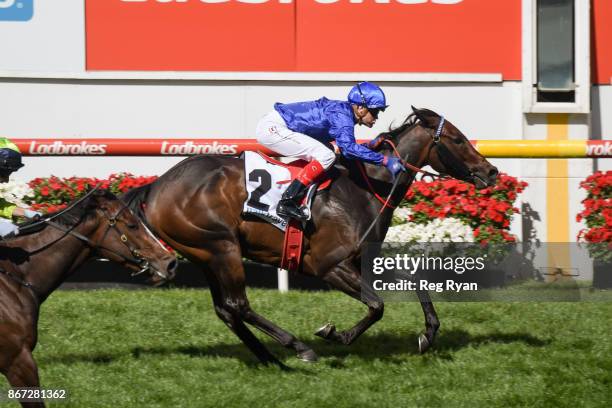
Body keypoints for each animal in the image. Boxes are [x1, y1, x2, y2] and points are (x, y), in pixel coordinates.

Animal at [123, 108, 498, 366]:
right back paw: (298, 347)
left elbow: (415, 279)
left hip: (205, 254)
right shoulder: (329, 266)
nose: (491, 171)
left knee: (226, 310)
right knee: (238, 304)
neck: (366, 187)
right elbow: (376, 306)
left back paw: (270, 358)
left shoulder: (362, 258)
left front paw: (428, 334)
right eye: (457, 139)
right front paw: (337, 334)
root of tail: (156, 185)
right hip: (221, 247)